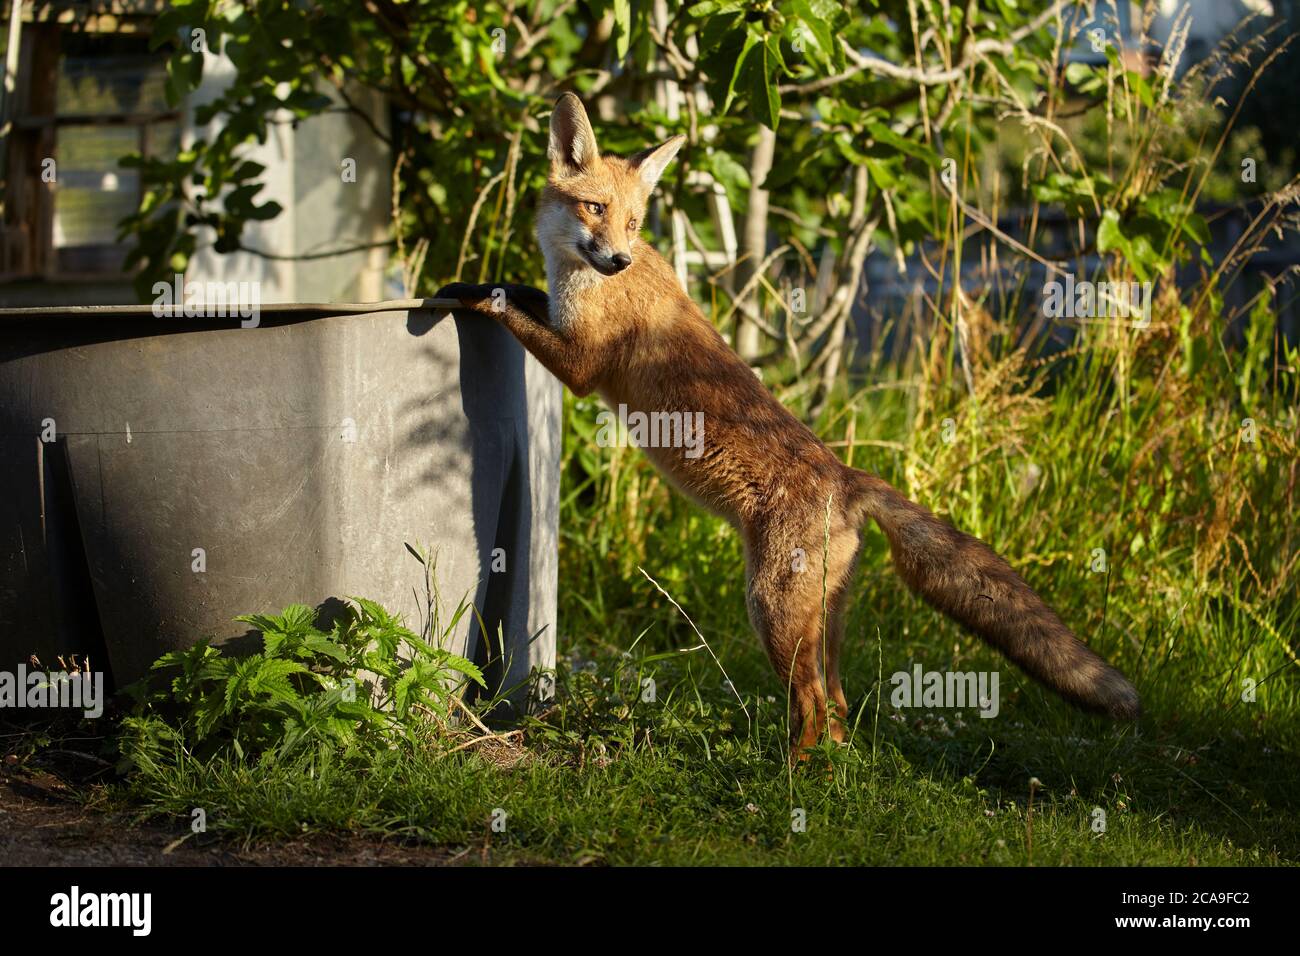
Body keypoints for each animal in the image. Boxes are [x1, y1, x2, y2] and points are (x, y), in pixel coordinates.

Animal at [436, 95, 1138, 754]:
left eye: (632, 221)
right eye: (593, 209)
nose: (618, 259)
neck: (582, 278)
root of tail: (848, 478)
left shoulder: (580, 365)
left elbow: (510, 309)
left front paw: (472, 295)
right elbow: (521, 291)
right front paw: (483, 279)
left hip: (771, 610)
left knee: (814, 706)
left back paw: (787, 775)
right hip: (823, 619)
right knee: (840, 706)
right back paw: (826, 767)